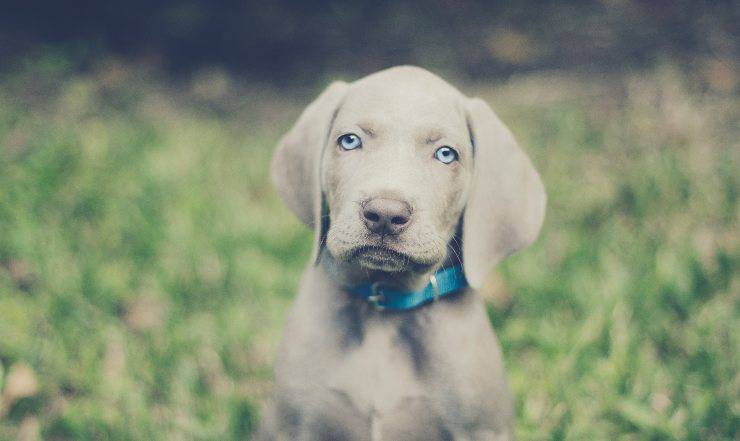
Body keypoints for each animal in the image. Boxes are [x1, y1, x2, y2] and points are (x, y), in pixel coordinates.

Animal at [258, 66, 548, 440]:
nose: (384, 214)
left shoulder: (480, 428)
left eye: (446, 154)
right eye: (349, 141)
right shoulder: (293, 425)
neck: (385, 309)